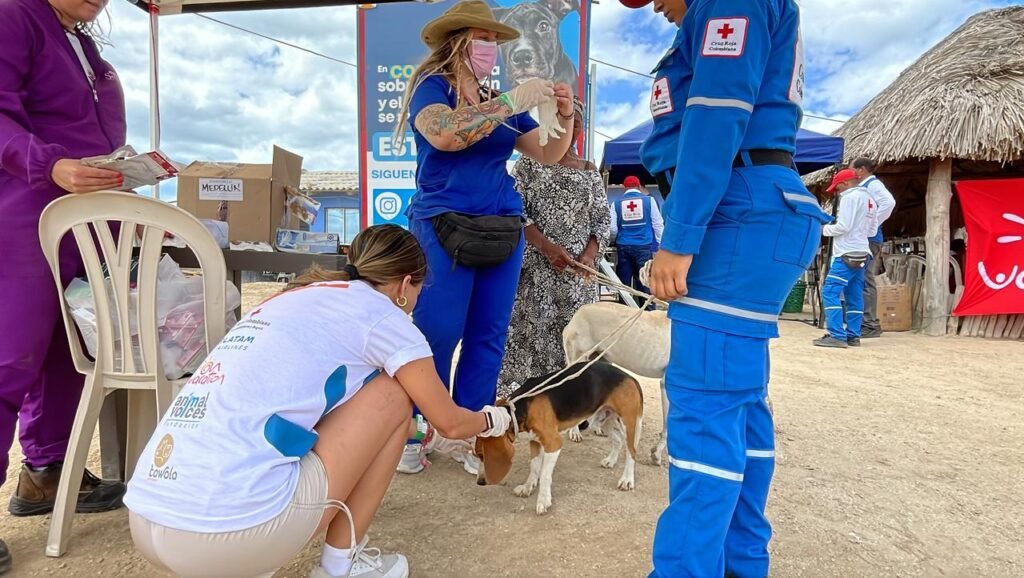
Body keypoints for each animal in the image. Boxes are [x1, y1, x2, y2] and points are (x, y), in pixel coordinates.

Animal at [475, 360, 643, 514]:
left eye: (482, 455)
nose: (480, 482)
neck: (520, 407)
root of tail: (630, 377)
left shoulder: (553, 443)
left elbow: (544, 474)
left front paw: (543, 500)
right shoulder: (535, 441)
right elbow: (534, 467)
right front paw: (528, 487)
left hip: (629, 424)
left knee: (632, 452)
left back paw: (627, 479)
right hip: (603, 420)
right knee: (618, 440)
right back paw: (611, 461)